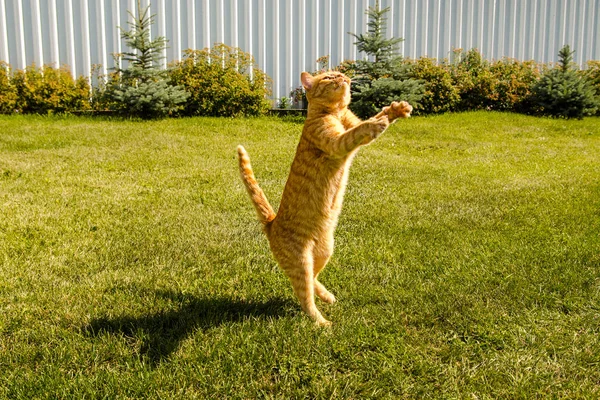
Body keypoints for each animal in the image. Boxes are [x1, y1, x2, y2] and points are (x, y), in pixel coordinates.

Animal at [239, 70, 412, 324]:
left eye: (340, 74)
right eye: (330, 77)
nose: (345, 77)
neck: (336, 113)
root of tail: (271, 223)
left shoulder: (351, 127)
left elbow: (376, 117)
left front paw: (397, 109)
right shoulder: (338, 143)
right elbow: (362, 128)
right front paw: (377, 122)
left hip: (325, 251)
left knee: (313, 279)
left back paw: (328, 296)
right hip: (301, 262)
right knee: (305, 295)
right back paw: (322, 323)